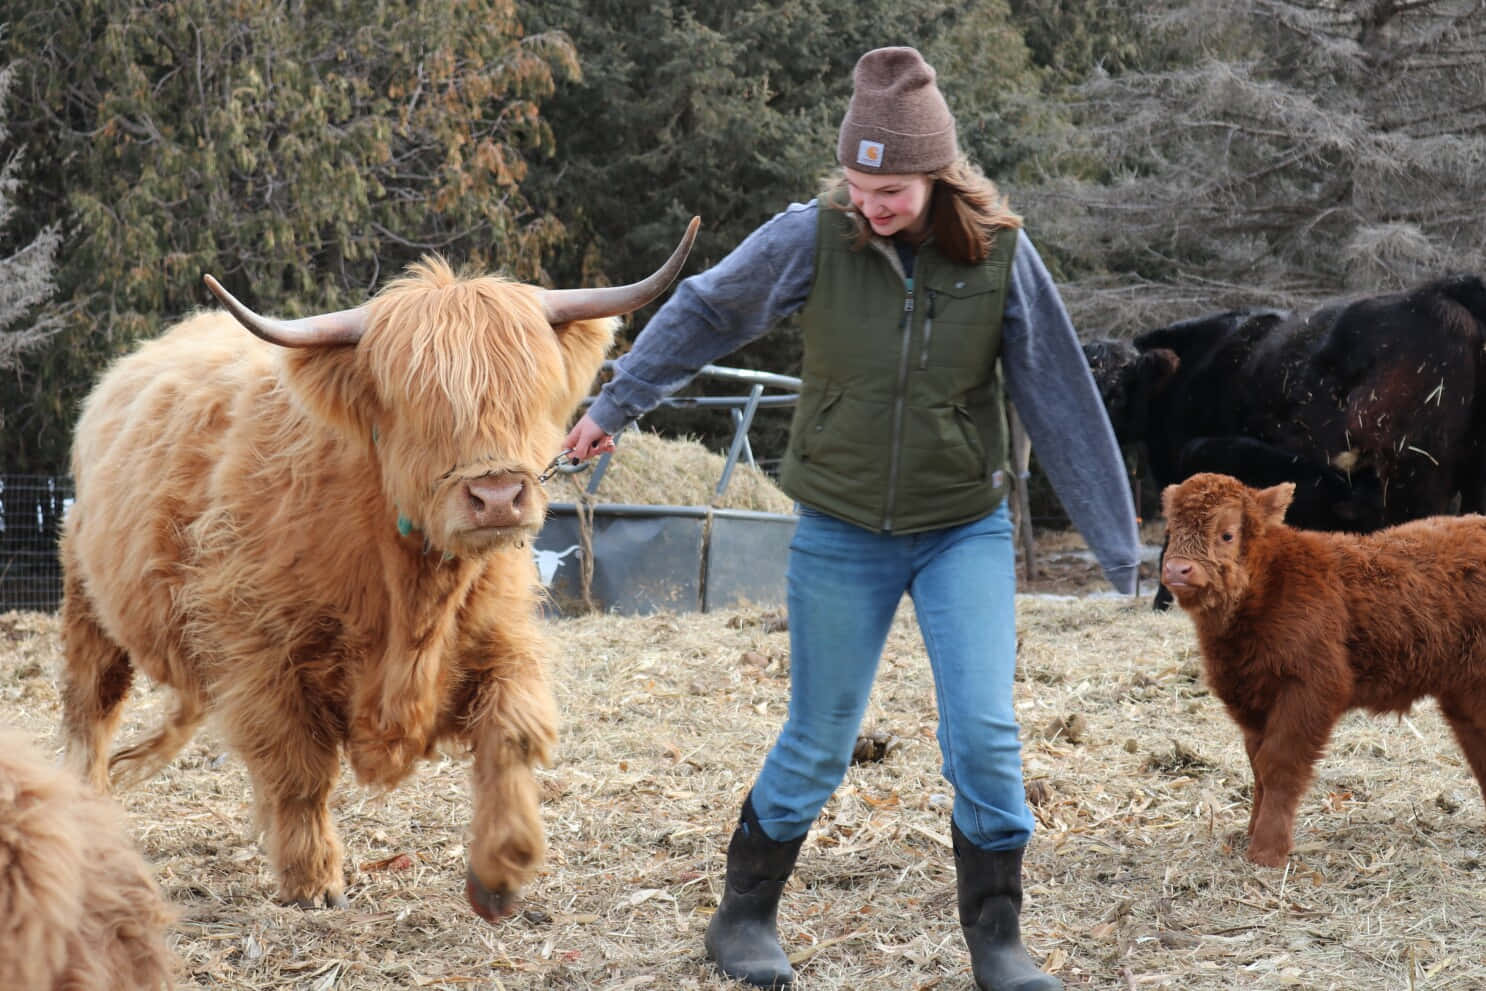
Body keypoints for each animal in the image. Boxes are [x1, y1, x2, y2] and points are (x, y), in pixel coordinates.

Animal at [58, 218, 699, 921]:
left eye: (532, 394)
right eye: (417, 404)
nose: (498, 496)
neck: (410, 591)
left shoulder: (499, 638)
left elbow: (513, 732)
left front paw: (502, 869)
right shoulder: (264, 660)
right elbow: (298, 771)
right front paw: (313, 879)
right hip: (88, 609)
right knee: (90, 714)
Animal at [1160, 472, 1486, 868]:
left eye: (1226, 534)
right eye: (1171, 529)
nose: (1177, 569)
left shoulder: (1310, 689)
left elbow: (1279, 765)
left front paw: (1267, 850)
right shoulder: (1253, 701)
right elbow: (1257, 767)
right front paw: (1251, 833)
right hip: (1462, 696)